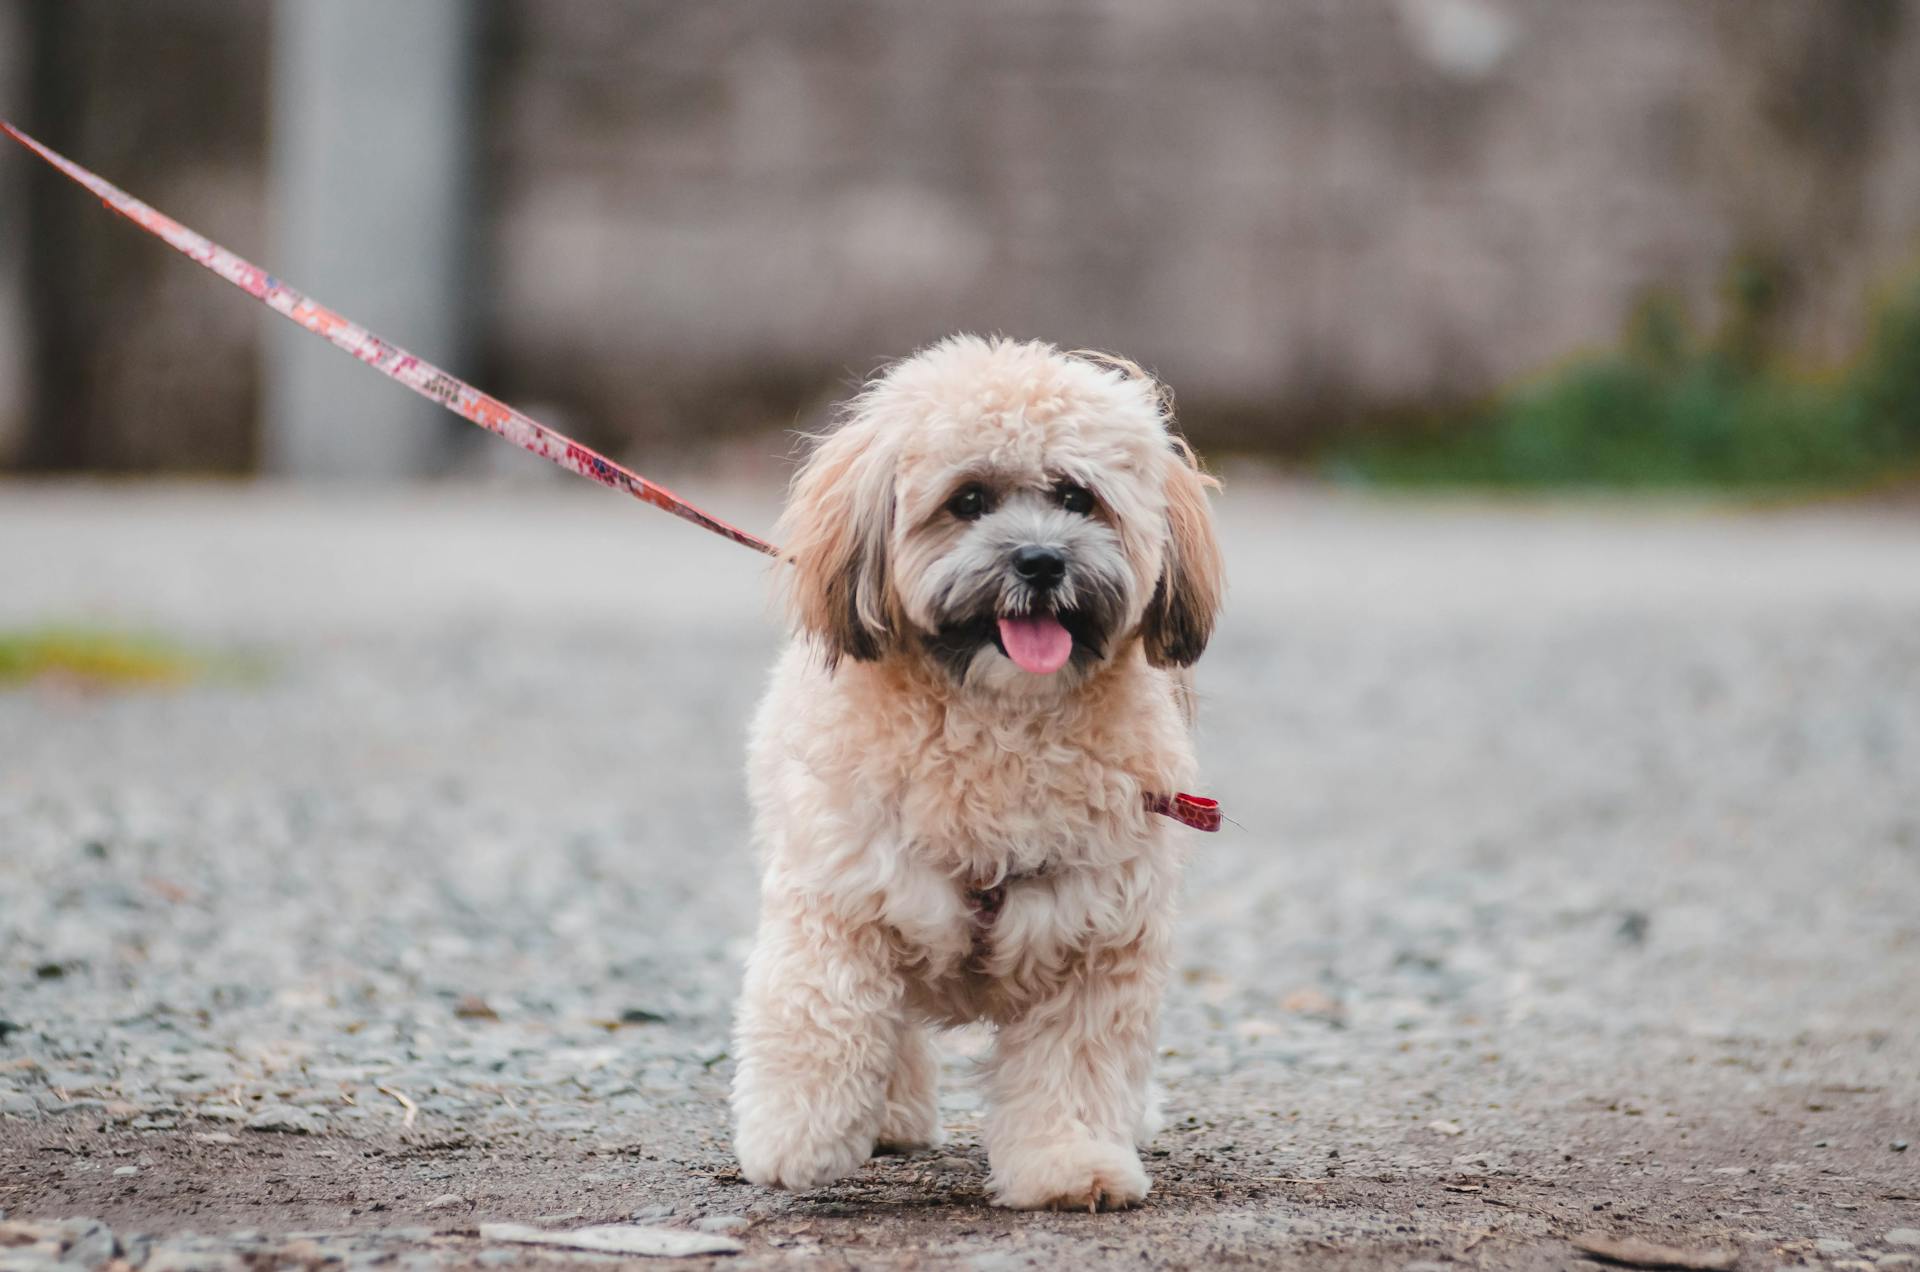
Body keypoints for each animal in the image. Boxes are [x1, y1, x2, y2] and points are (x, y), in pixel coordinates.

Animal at [725, 334, 1221, 1214]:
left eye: (1077, 498)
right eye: (968, 500)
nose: (1041, 559)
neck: (1002, 724)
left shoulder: (1096, 939)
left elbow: (1075, 1068)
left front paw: (1072, 1163)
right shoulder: (841, 898)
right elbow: (823, 1012)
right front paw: (798, 1140)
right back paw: (887, 1116)